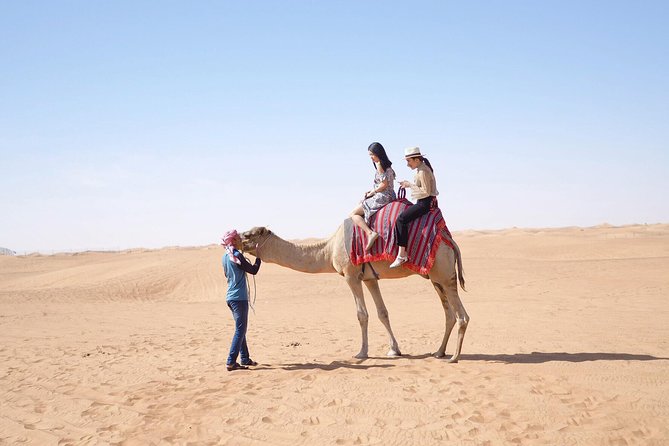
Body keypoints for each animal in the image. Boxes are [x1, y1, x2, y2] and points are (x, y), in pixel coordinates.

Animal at [240, 221, 469, 362]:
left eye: (248, 234)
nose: (234, 236)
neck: (329, 249)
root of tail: (450, 241)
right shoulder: (369, 278)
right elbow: (383, 313)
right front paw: (394, 350)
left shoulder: (351, 276)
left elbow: (362, 314)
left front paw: (362, 352)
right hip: (435, 279)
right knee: (449, 314)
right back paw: (439, 352)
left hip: (444, 274)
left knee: (462, 316)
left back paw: (454, 357)